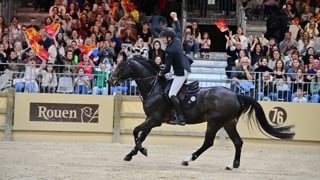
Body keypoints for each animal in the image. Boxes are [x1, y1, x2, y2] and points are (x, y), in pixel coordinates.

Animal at [108, 58, 296, 169]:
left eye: (120, 66)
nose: (110, 80)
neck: (154, 87)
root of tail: (235, 94)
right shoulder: (151, 119)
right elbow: (141, 135)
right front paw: (131, 154)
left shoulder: (154, 119)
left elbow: (136, 132)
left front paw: (142, 151)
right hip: (228, 123)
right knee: (238, 142)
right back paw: (233, 165)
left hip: (214, 122)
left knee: (208, 142)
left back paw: (188, 159)